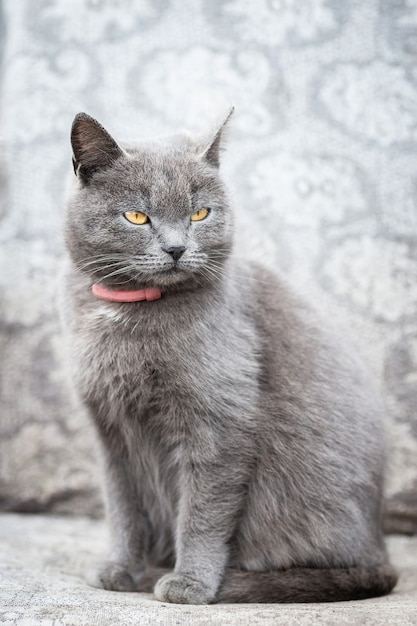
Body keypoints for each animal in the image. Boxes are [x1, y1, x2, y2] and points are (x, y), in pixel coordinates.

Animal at [62, 109, 396, 604]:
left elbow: (202, 512)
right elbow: (123, 508)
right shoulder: (111, 432)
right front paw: (119, 568)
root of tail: (381, 546)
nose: (176, 248)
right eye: (137, 216)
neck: (129, 312)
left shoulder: (220, 423)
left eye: (200, 212)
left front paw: (190, 583)